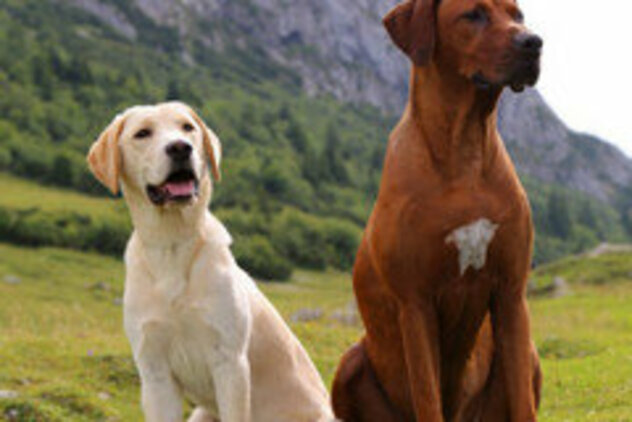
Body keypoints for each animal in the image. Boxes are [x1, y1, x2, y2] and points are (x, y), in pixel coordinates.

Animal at [89, 102, 336, 422]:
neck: (172, 243)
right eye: (142, 133)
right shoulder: (155, 373)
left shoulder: (230, 361)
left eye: (187, 128)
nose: (180, 148)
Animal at [334, 0, 544, 420]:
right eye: (474, 14)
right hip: (349, 361)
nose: (533, 43)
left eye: (519, 15)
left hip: (526, 354)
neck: (465, 149)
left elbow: (523, 405)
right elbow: (428, 398)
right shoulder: (415, 304)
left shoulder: (512, 293)